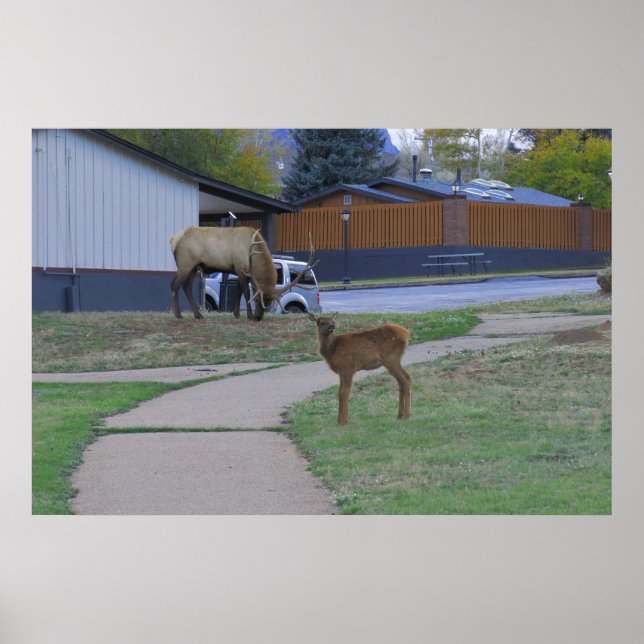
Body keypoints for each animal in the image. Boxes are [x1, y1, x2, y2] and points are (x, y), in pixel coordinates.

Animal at [169, 226, 316, 321]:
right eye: (257, 299)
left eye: (269, 302)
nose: (258, 317)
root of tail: (173, 240)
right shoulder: (241, 268)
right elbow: (245, 292)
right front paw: (249, 315)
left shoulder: (239, 271)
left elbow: (238, 291)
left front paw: (237, 314)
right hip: (185, 264)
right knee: (174, 285)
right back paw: (178, 315)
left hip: (194, 267)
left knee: (187, 286)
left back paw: (198, 315)